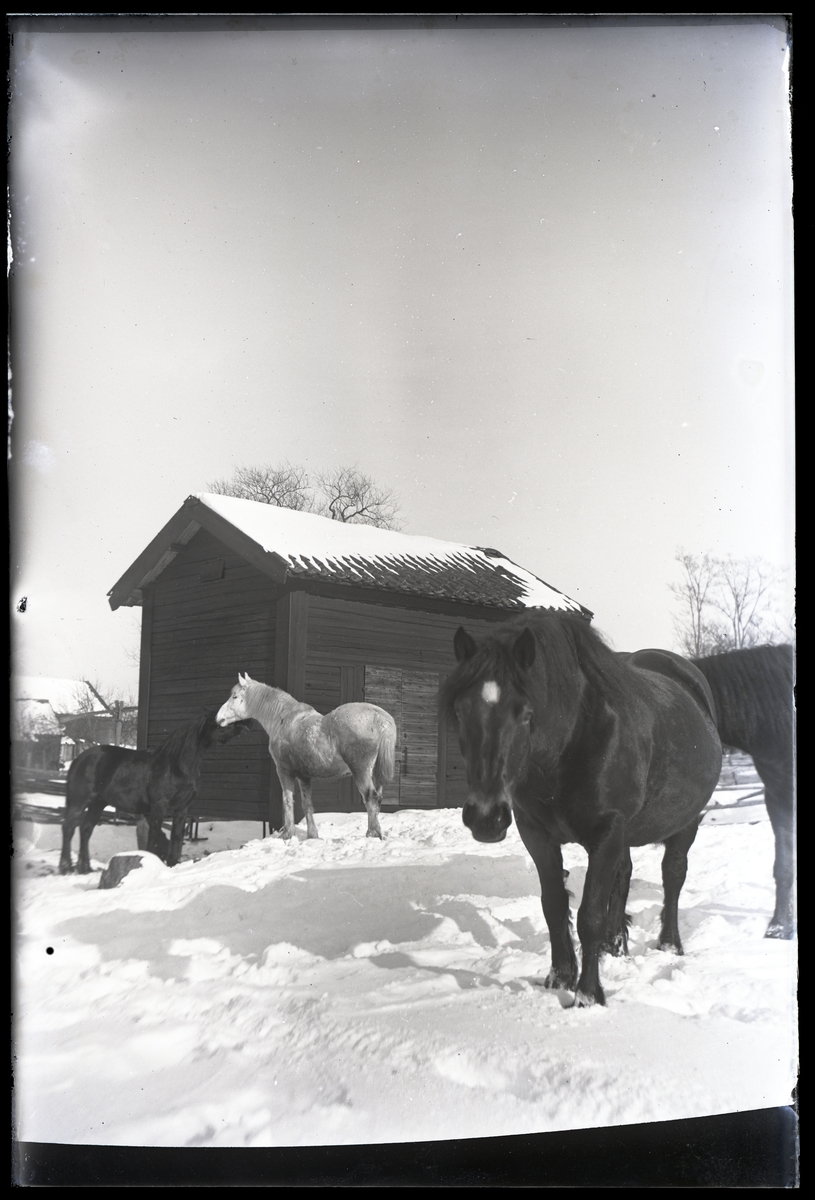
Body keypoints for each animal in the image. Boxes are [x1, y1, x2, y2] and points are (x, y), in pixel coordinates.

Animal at [59, 705, 252, 878]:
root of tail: (79, 759)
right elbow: (153, 839)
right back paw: (66, 867)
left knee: (86, 829)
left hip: (98, 803)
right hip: (79, 801)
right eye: (222, 718)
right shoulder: (159, 806)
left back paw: (84, 868)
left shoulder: (183, 809)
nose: (245, 724)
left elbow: (176, 838)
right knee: (69, 827)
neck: (178, 764)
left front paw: (172, 865)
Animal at [214, 676, 396, 844]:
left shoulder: (284, 771)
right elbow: (307, 804)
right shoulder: (304, 776)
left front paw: (287, 834)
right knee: (377, 798)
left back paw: (372, 834)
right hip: (374, 773)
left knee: (370, 798)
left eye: (235, 696)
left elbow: (287, 800)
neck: (282, 718)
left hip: (361, 771)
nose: (218, 718)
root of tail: (380, 718)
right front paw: (312, 836)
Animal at [444, 614, 724, 1008]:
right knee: (624, 875)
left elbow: (589, 915)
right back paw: (615, 946)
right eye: (460, 710)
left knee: (673, 875)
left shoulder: (607, 832)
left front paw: (588, 995)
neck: (572, 742)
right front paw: (560, 977)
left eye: (525, 713)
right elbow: (554, 905)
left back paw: (670, 944)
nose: (485, 817)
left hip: (686, 823)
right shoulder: (537, 834)